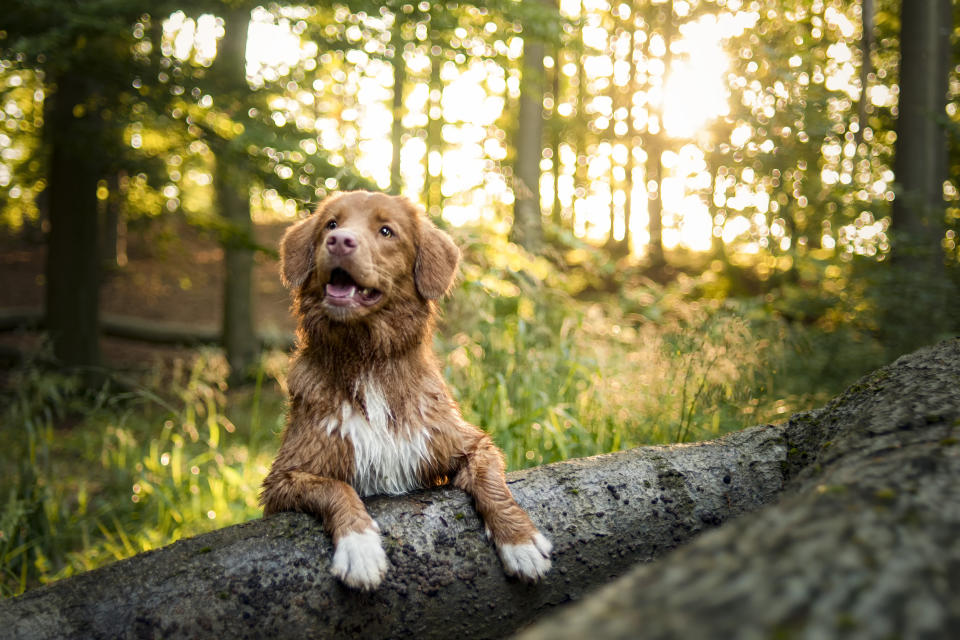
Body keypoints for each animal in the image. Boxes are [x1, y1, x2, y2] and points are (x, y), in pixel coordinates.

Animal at [260, 190, 556, 592]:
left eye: (386, 231)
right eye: (331, 224)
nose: (338, 240)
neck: (367, 356)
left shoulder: (465, 441)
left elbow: (492, 484)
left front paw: (520, 541)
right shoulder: (282, 479)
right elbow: (335, 488)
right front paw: (360, 547)